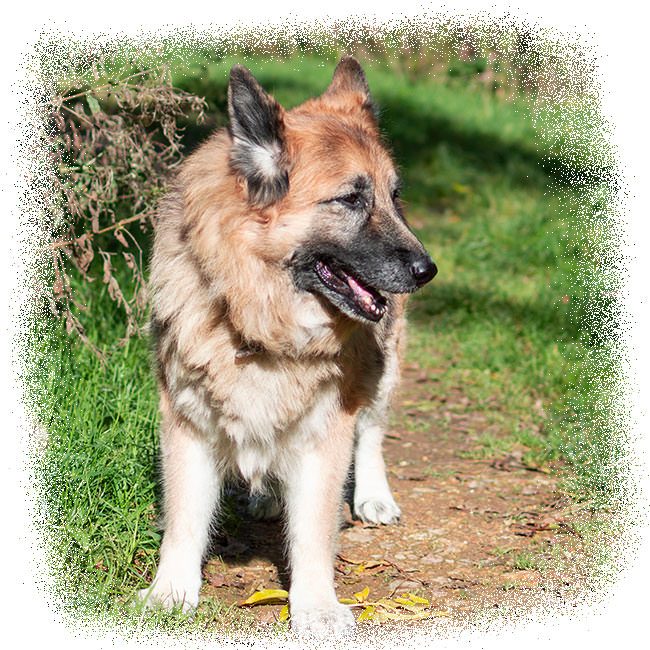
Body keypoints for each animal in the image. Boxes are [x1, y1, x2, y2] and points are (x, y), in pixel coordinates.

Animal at [141, 58, 436, 636]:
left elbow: (315, 530)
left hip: (383, 368)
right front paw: (171, 591)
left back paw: (373, 496)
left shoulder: (327, 429)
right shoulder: (187, 419)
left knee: (373, 431)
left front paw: (316, 605)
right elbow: (185, 517)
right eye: (351, 199)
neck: (255, 318)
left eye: (394, 198)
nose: (426, 270)